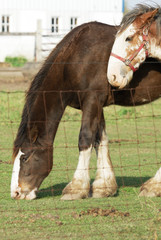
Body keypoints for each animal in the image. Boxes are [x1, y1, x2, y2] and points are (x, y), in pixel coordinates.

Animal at [10, 21, 161, 201]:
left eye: (25, 157)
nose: (16, 192)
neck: (77, 57)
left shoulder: (92, 100)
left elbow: (85, 138)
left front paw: (76, 188)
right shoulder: (96, 104)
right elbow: (99, 139)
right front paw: (104, 187)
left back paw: (154, 186)